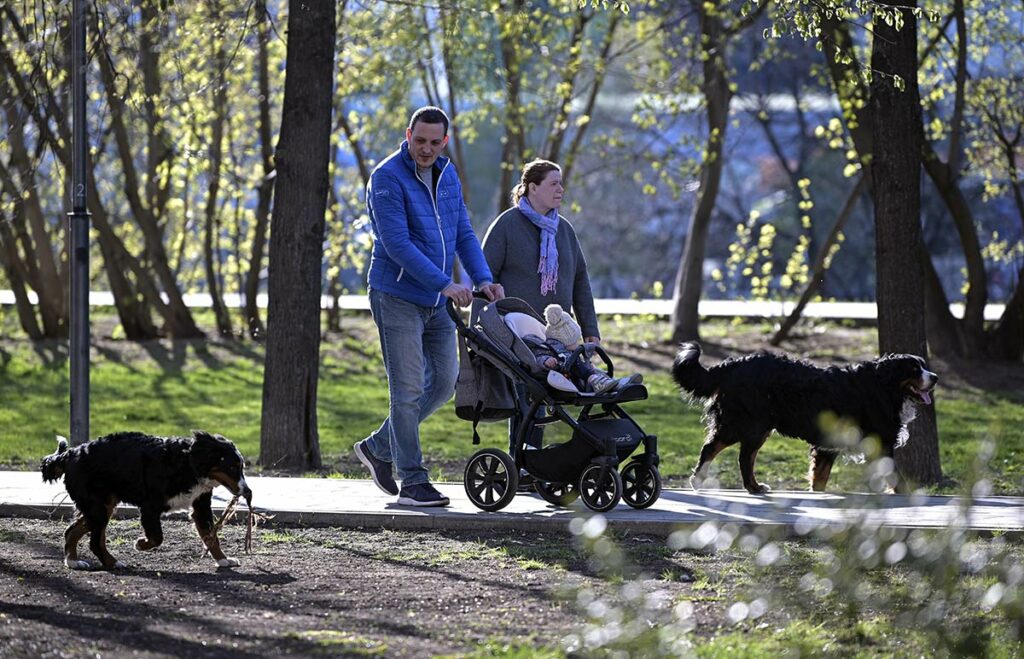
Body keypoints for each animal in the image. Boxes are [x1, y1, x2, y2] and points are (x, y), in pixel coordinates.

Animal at [42, 431, 253, 564]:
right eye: (232, 467)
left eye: (241, 467)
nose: (247, 491)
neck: (188, 463)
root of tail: (70, 454)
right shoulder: (150, 507)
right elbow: (157, 537)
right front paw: (141, 544)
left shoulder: (200, 507)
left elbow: (211, 537)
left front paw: (223, 560)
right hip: (98, 507)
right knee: (94, 541)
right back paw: (112, 563)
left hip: (102, 507)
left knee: (73, 532)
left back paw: (74, 562)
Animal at [671, 341, 937, 491]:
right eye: (914, 369)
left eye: (923, 365)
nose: (934, 378)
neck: (884, 387)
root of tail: (733, 364)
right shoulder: (881, 445)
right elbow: (896, 477)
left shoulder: (827, 447)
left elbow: (819, 479)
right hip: (748, 425)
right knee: (731, 454)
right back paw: (745, 486)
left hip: (753, 426)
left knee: (731, 453)